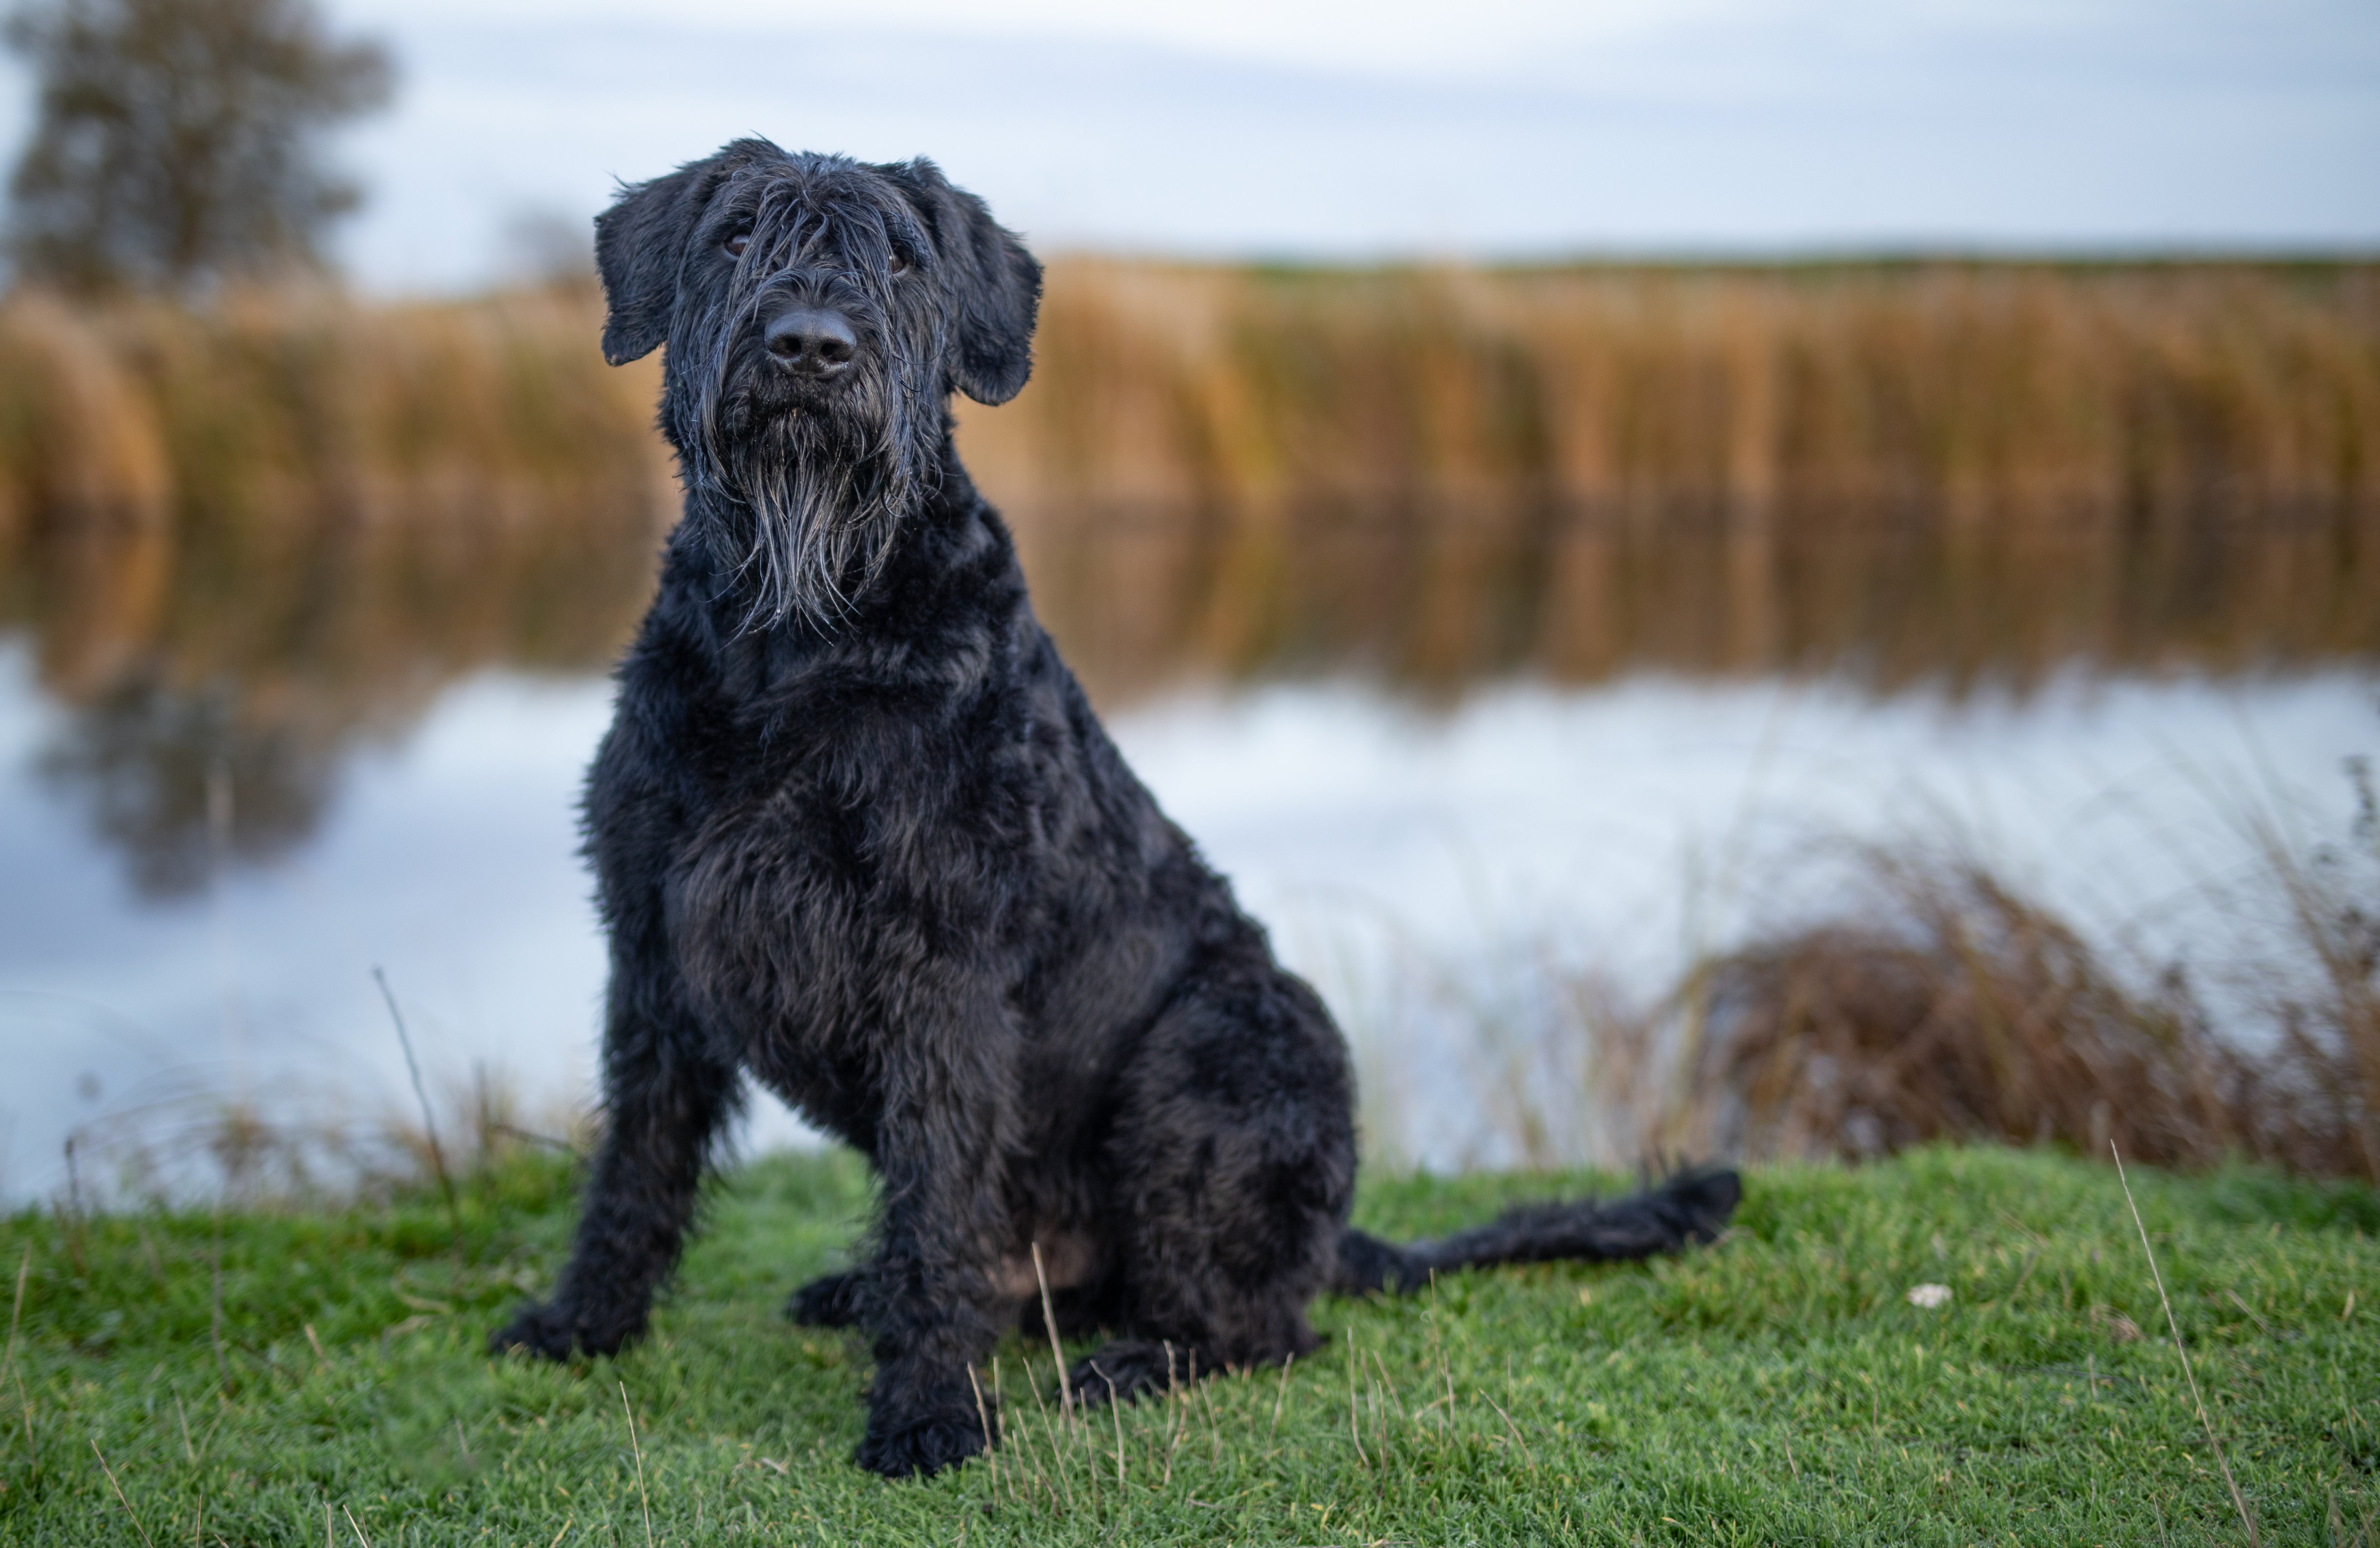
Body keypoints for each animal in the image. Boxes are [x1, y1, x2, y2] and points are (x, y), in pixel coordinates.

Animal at [493, 141, 1742, 1467]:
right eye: (736, 236)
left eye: (902, 256)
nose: (812, 347)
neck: (797, 634)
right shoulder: (652, 945)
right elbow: (636, 1164)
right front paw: (584, 1321)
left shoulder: (941, 969)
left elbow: (939, 1202)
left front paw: (927, 1410)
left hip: (1222, 1047)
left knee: (1256, 1323)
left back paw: (1130, 1363)